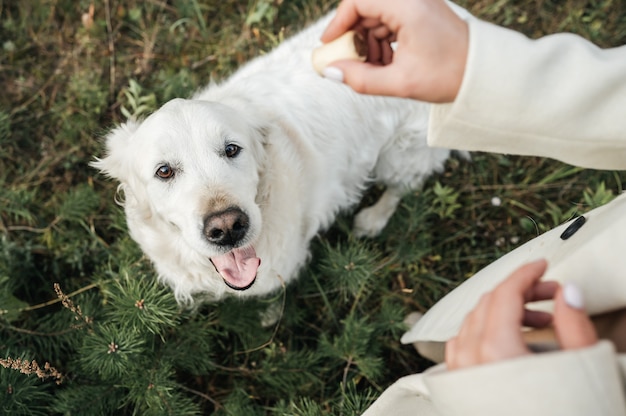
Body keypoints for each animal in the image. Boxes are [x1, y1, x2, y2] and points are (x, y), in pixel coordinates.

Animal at [92, 13, 464, 304]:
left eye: (232, 149)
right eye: (164, 171)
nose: (227, 228)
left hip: (402, 153)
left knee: (403, 185)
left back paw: (372, 218)